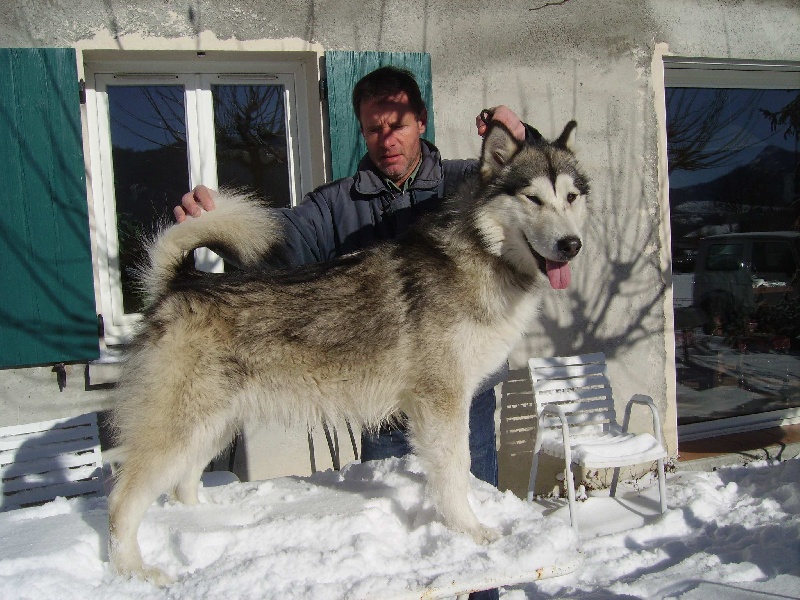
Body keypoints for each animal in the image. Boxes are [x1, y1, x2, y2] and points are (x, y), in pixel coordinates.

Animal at [109, 120, 588, 580]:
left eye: (571, 197)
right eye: (532, 198)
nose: (572, 245)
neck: (482, 256)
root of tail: (180, 282)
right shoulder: (441, 402)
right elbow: (455, 472)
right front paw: (470, 531)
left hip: (212, 426)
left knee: (183, 484)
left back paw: (207, 524)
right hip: (180, 427)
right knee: (122, 503)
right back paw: (135, 571)